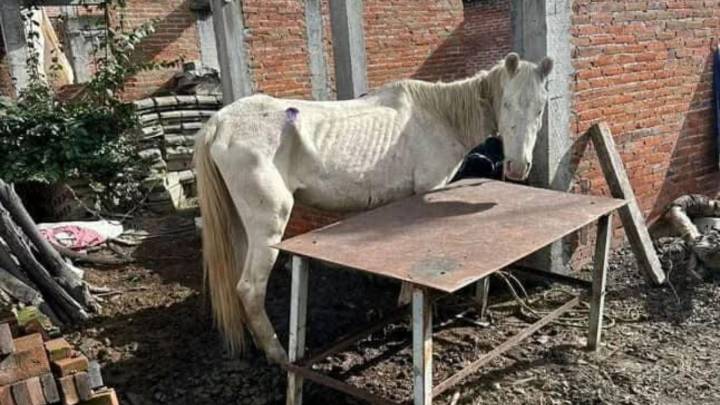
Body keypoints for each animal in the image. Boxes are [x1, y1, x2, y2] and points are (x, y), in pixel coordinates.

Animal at [194, 53, 553, 364]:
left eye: (540, 109)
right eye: (506, 104)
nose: (518, 167)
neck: (440, 116)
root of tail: (219, 123)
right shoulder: (426, 191)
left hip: (240, 226)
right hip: (269, 223)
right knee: (250, 287)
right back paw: (278, 354)